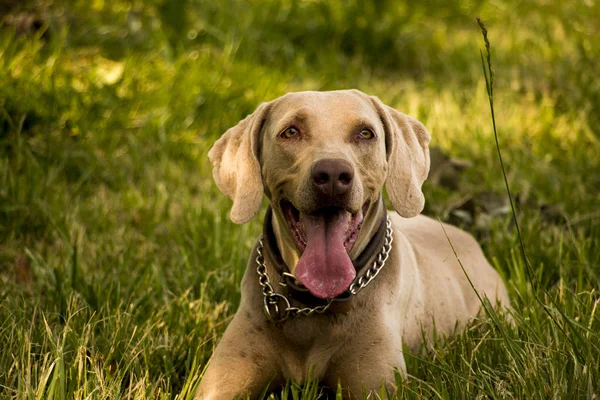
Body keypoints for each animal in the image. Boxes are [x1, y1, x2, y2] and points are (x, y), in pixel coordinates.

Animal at [198, 89, 510, 398]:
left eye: (365, 133)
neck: (312, 304)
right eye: (291, 131)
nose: (332, 175)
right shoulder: (219, 385)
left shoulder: (375, 386)